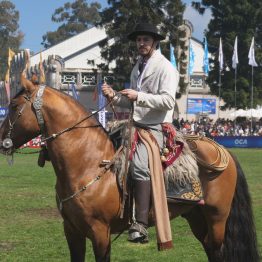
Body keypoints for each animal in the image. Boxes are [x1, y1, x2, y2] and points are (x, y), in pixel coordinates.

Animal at [0, 75, 258, 262]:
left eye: (13, 105)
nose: (2, 140)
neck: (87, 163)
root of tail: (223, 151)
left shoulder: (100, 233)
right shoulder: (72, 231)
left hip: (217, 219)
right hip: (197, 217)